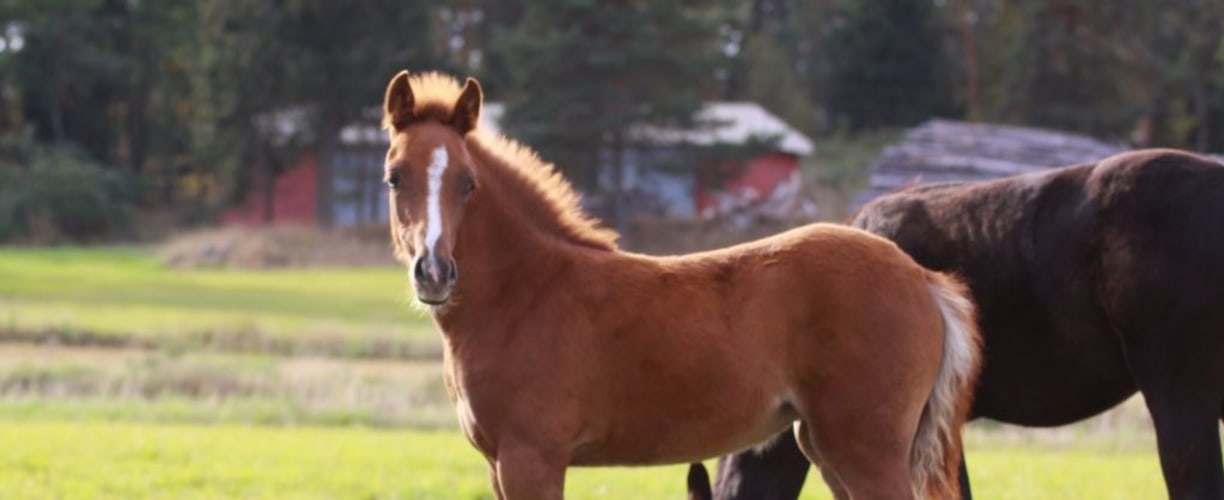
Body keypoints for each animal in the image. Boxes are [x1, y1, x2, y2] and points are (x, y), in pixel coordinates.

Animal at [381, 69, 984, 495]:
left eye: (468, 183)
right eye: (394, 177)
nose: (434, 272)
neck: (524, 295)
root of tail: (923, 280)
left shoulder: (533, 456)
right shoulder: (497, 463)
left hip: (867, 449)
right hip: (827, 446)